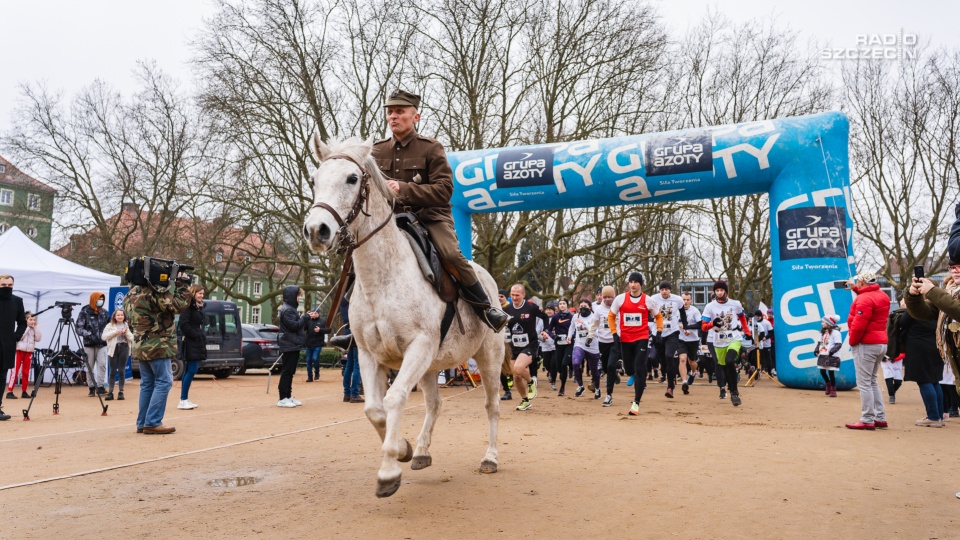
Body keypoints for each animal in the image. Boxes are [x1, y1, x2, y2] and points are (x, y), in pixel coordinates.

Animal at [304, 135, 506, 498]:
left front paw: (388, 472)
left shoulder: (418, 347)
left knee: (492, 405)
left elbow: (394, 399)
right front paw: (402, 449)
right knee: (434, 404)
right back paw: (422, 451)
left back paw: (490, 458)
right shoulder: (369, 355)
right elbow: (374, 409)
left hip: (488, 359)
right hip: (431, 365)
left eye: (352, 179)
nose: (317, 230)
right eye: (315, 179)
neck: (383, 278)